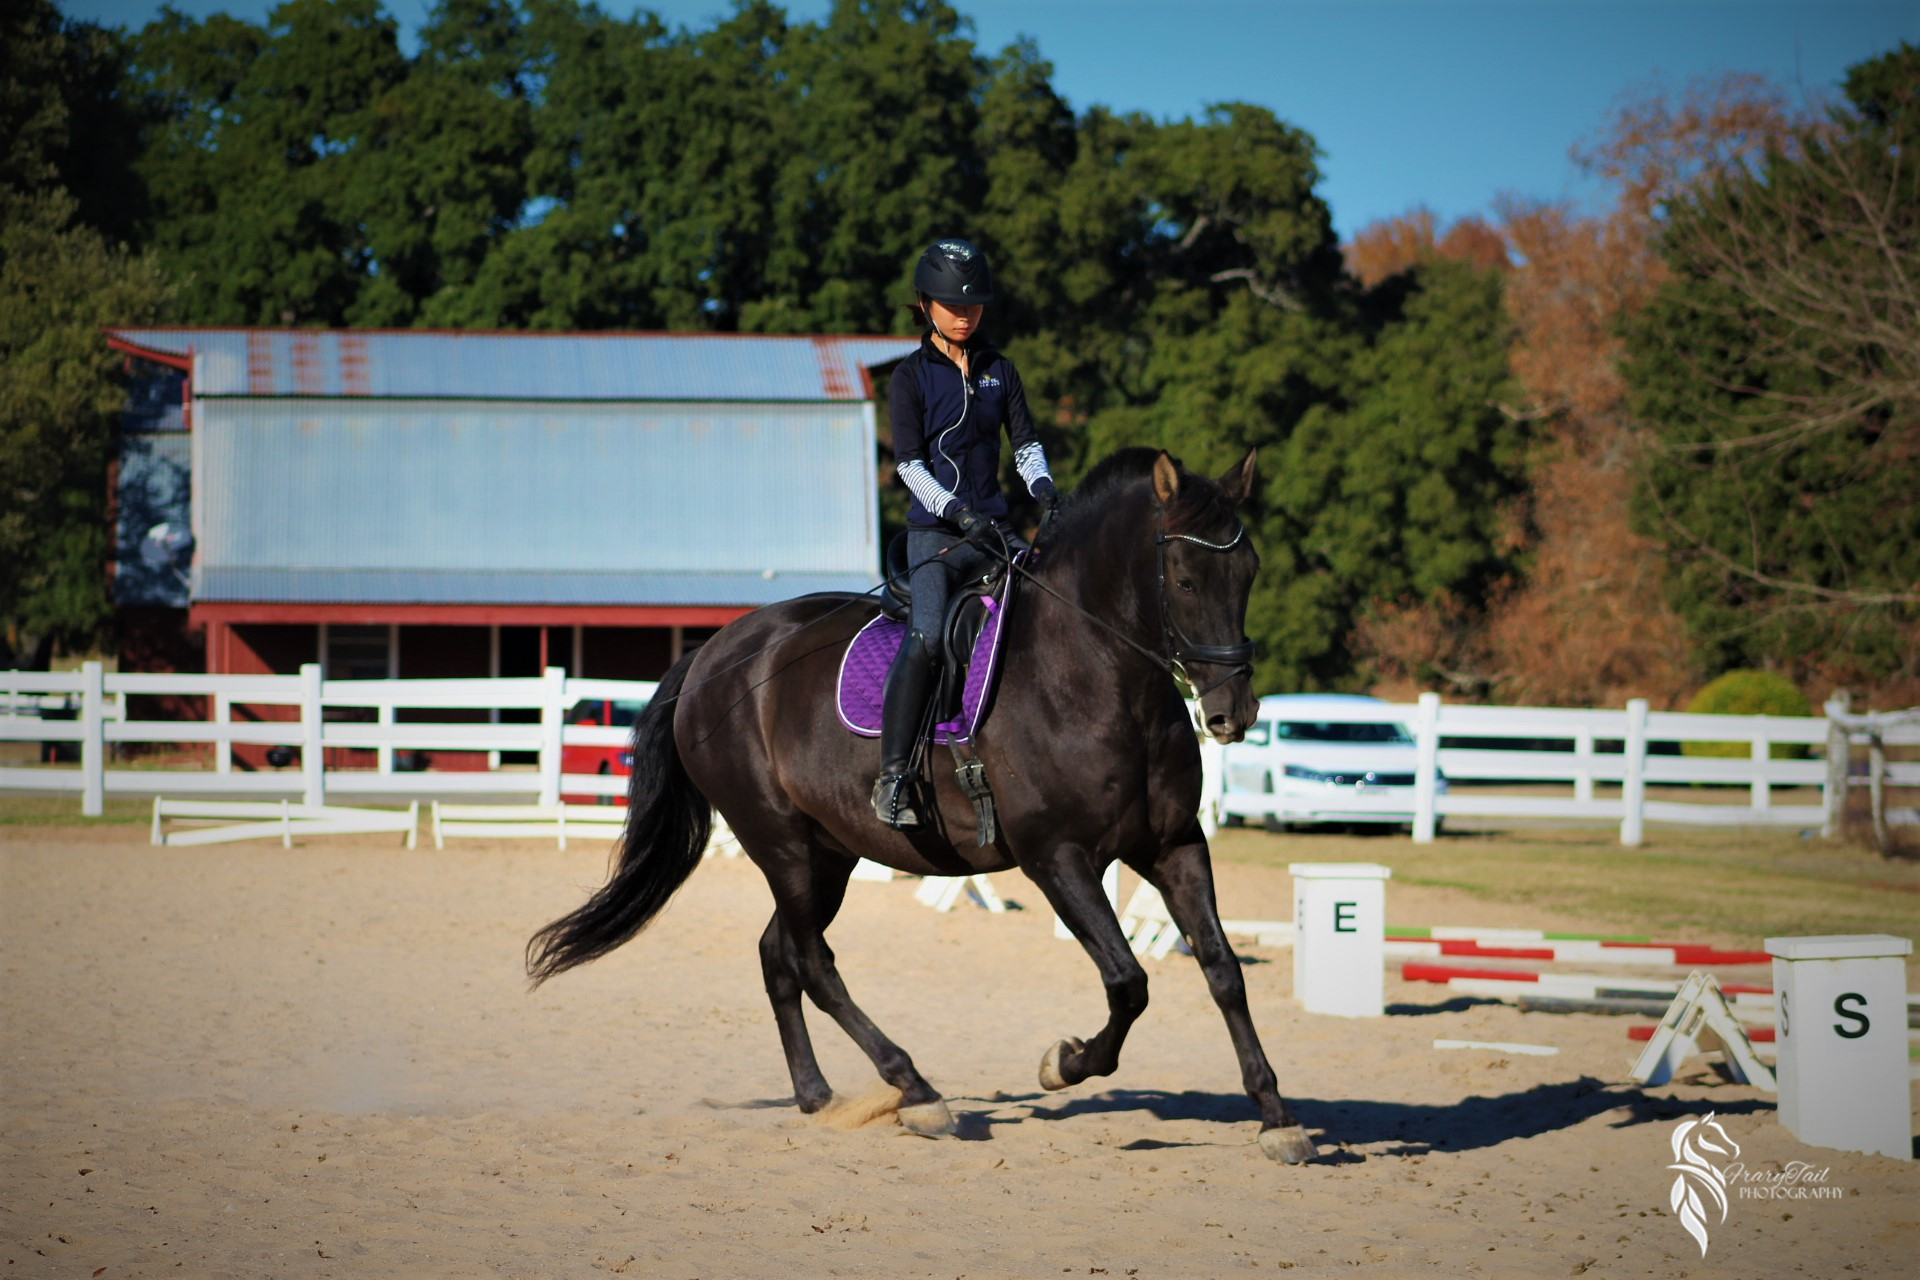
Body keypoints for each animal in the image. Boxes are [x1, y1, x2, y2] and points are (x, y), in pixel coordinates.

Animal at [526, 446, 1319, 1164]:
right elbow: (1128, 982)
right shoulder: (1056, 859)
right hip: (782, 844)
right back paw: (917, 1091)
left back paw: (819, 1096)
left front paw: (1277, 1117)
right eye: (1183, 578)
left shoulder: (1175, 845)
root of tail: (713, 655)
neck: (1093, 672)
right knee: (812, 960)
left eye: (1248, 572)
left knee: (780, 954)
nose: (1233, 713)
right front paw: (1063, 1063)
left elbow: (1222, 969)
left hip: (828, 856)